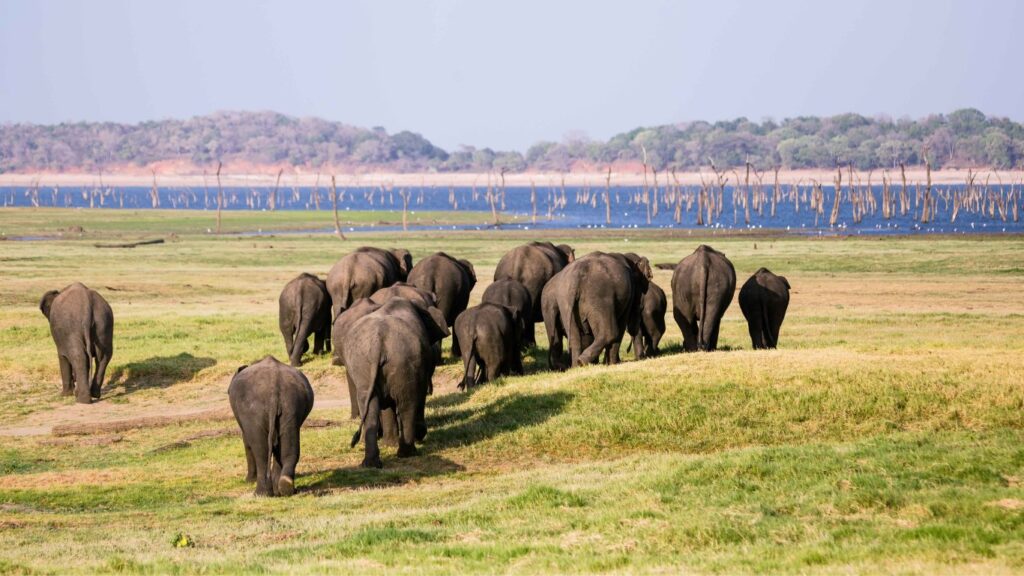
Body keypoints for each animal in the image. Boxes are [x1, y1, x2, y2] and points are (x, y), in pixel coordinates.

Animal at [228, 352, 311, 496]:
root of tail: (274, 390)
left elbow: (247, 442)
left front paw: (248, 481)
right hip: (292, 405)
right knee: (289, 448)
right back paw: (284, 487)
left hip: (252, 412)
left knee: (261, 450)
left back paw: (261, 494)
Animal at [344, 295, 448, 467]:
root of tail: (378, 343)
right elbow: (419, 396)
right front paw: (419, 435)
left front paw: (390, 444)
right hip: (405, 363)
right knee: (408, 403)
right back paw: (407, 453)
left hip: (363, 366)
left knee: (369, 404)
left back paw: (371, 463)